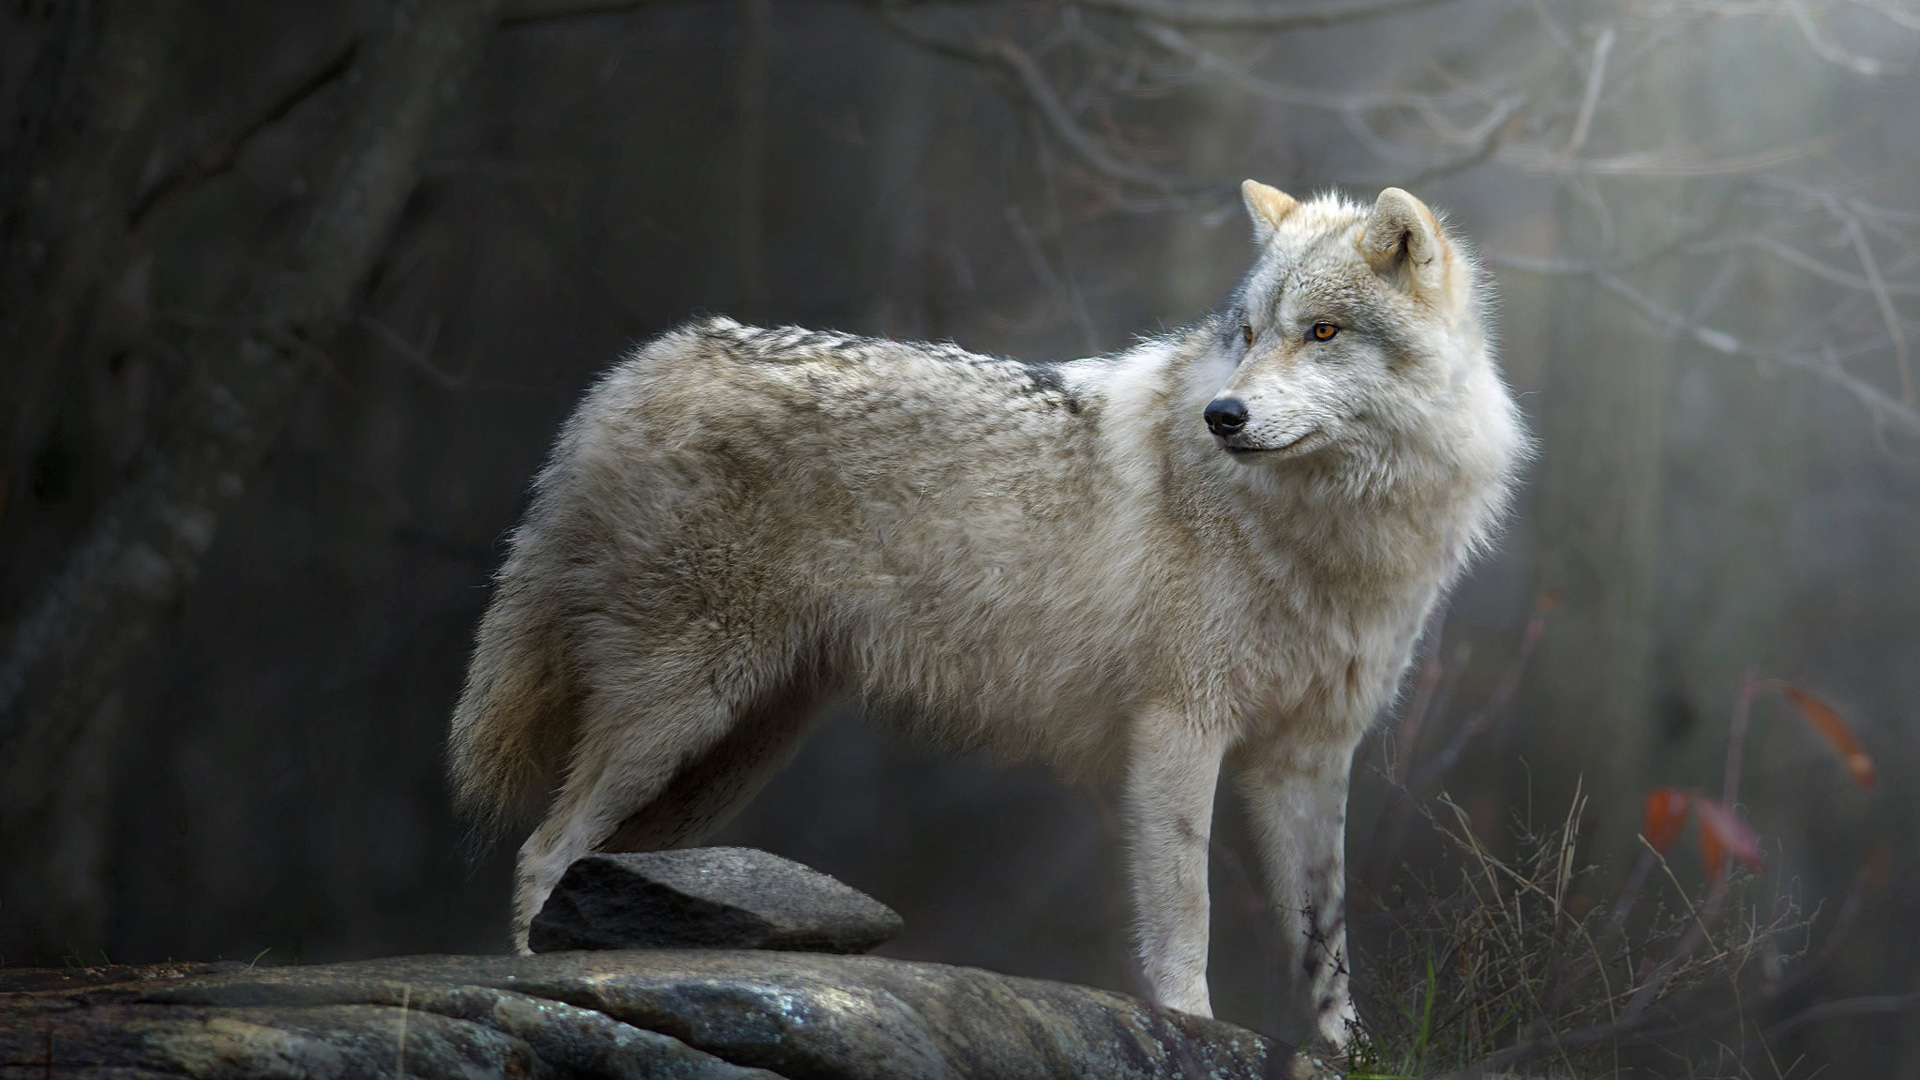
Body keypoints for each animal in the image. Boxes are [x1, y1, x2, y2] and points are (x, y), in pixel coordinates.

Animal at [449, 181, 1526, 1046]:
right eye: (1253, 334)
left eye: (1324, 333)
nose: (1224, 416)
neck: (1334, 532)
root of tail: (638, 369)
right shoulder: (1179, 729)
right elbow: (1187, 911)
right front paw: (1193, 1026)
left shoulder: (1310, 759)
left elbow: (1327, 943)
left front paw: (1351, 1053)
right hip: (681, 715)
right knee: (545, 849)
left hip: (724, 758)